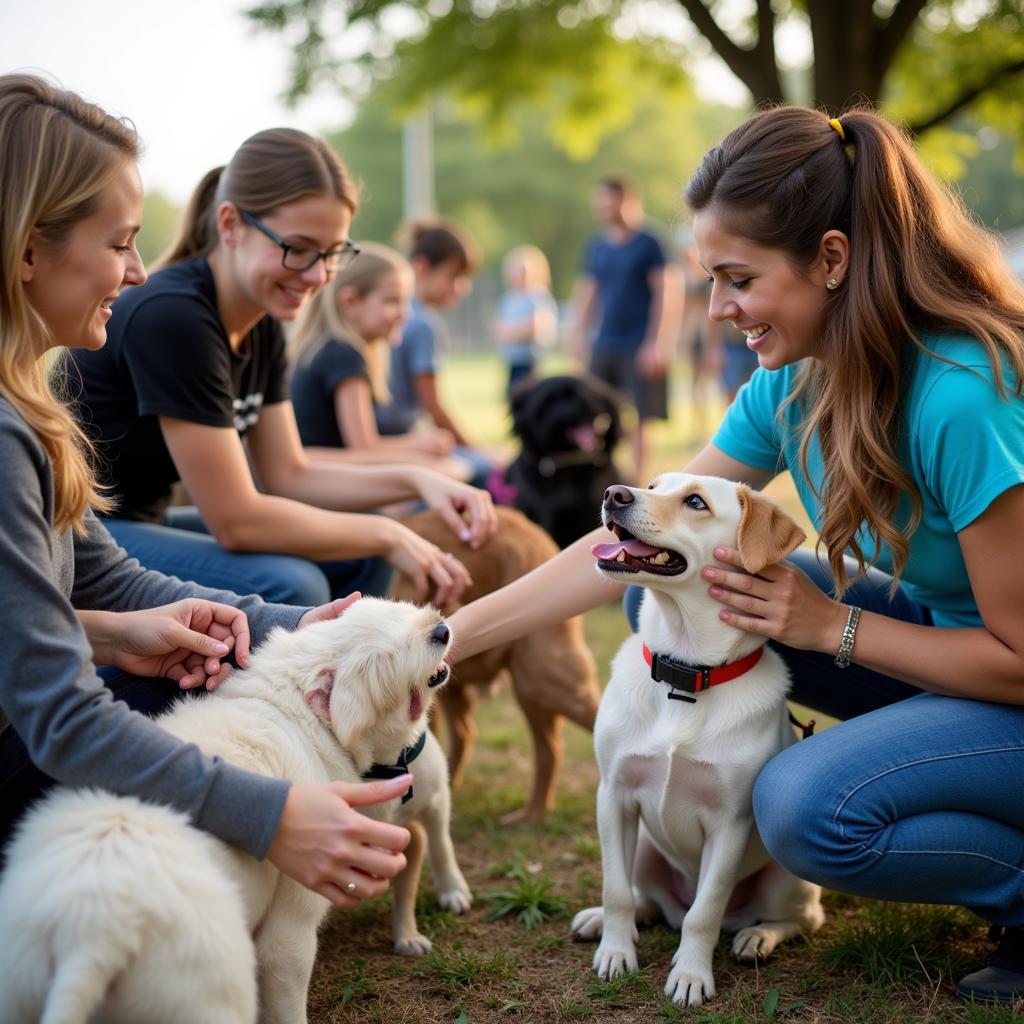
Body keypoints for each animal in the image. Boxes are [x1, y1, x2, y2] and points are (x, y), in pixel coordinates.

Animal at [0, 598, 468, 1024]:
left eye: (400, 608)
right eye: (387, 658)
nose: (443, 630)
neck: (294, 711)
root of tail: (92, 935)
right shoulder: (290, 929)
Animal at [573, 475, 827, 1003]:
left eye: (695, 502)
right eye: (653, 485)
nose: (614, 493)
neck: (685, 672)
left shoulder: (730, 824)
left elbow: (704, 914)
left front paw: (691, 976)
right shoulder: (614, 796)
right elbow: (616, 892)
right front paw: (614, 951)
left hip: (784, 879)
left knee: (796, 919)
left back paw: (757, 937)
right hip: (645, 848)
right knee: (648, 901)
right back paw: (603, 922)